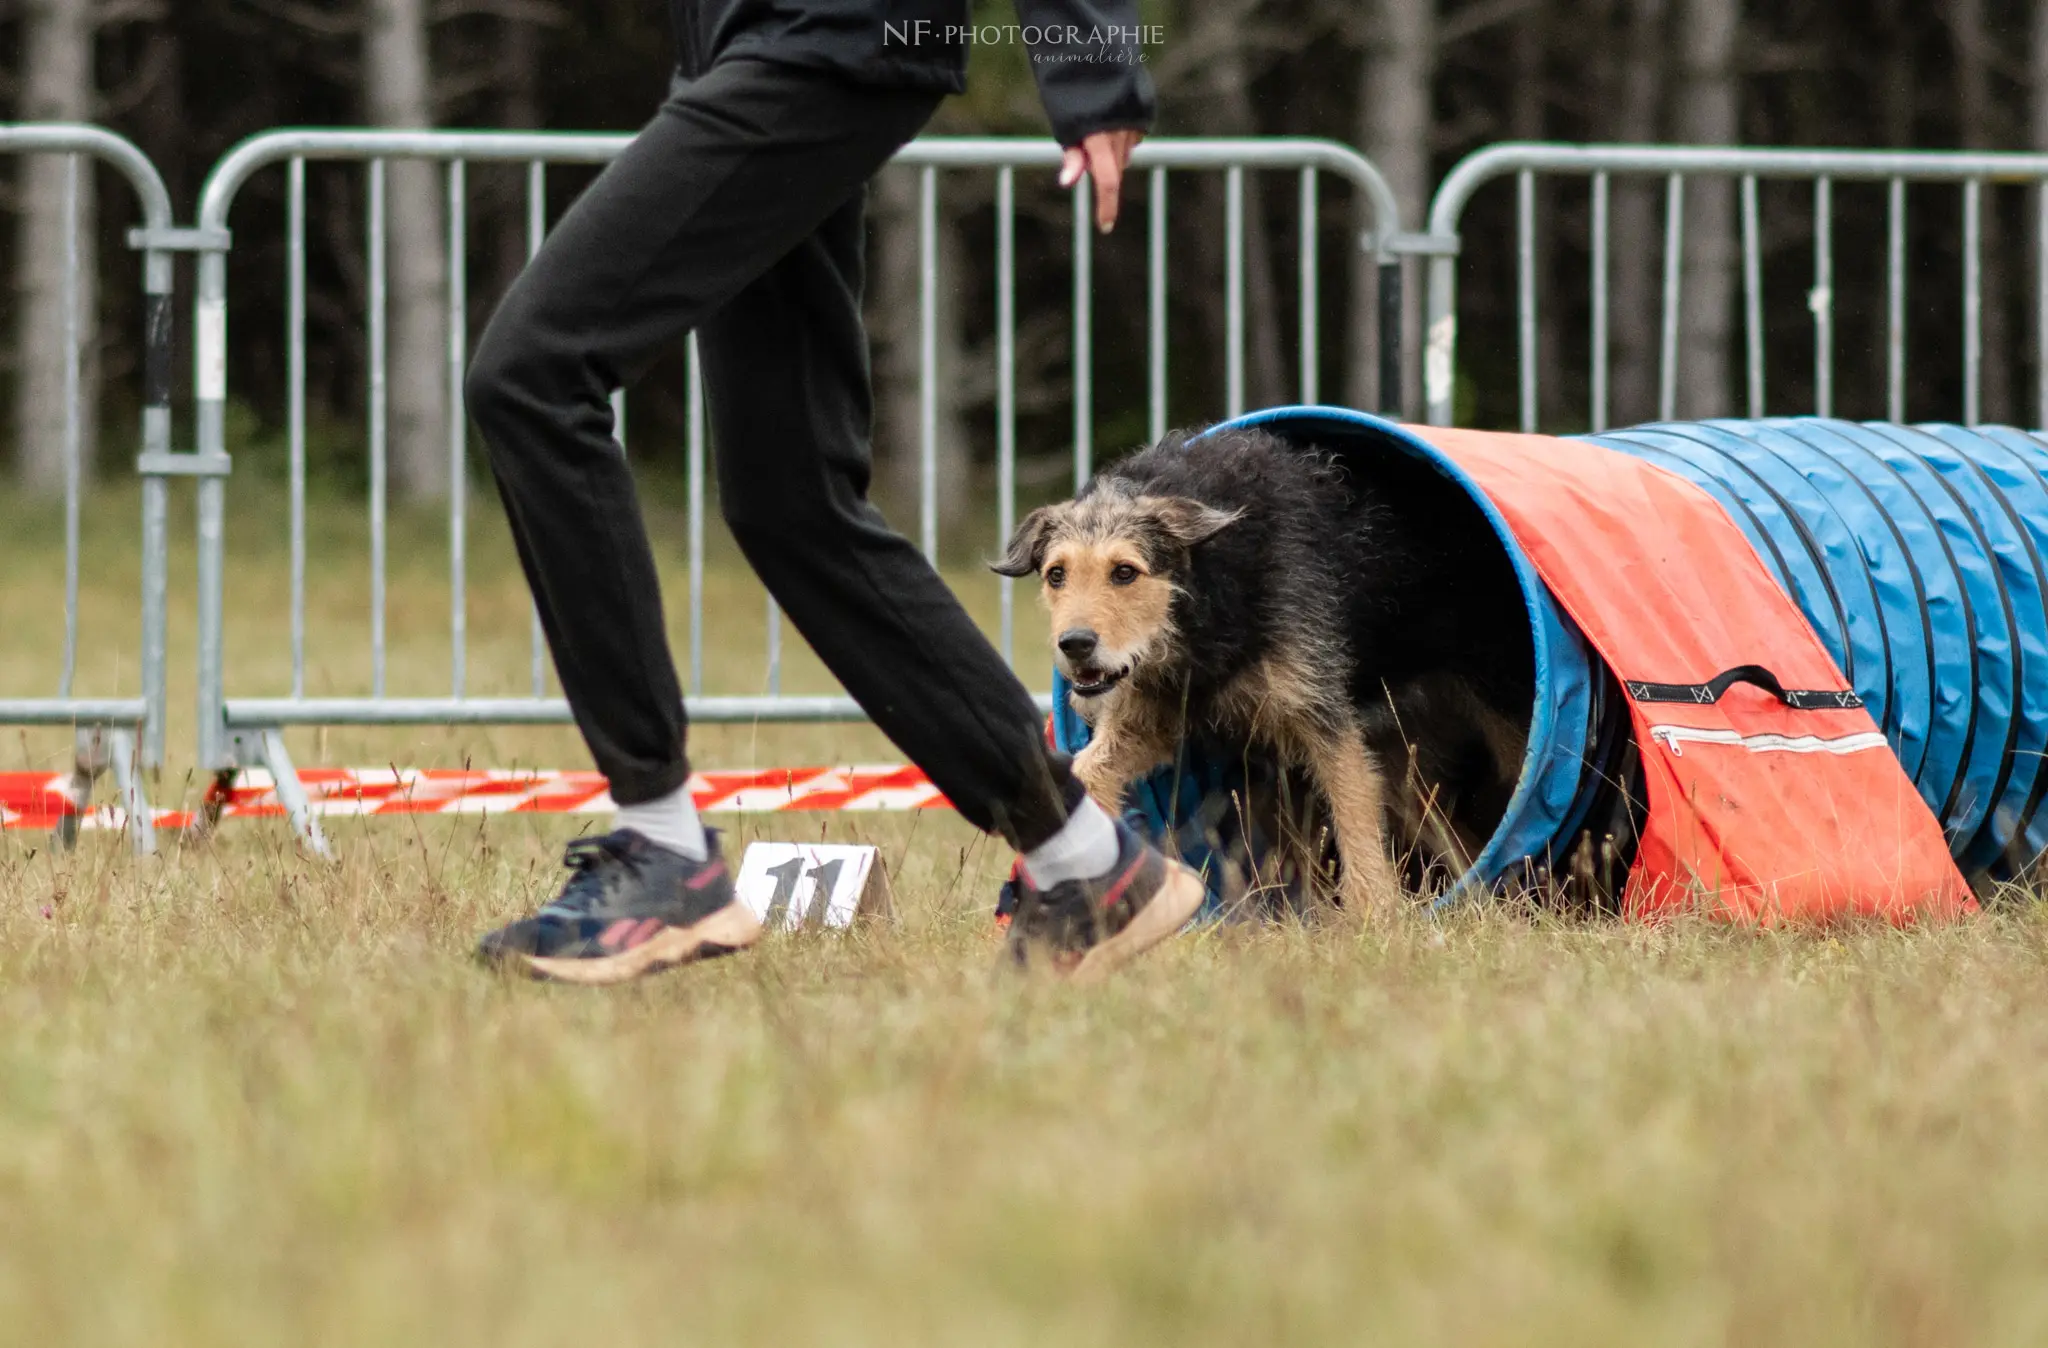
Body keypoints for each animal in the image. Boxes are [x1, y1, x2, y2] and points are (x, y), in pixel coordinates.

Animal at [991, 419, 1540, 901]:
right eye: (1056, 574)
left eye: (1125, 572)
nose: (1075, 644)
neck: (1209, 597)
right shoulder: (1145, 720)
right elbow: (1089, 775)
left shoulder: (1322, 719)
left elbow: (1355, 822)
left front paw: (1375, 919)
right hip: (1407, 764)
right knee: (1456, 840)